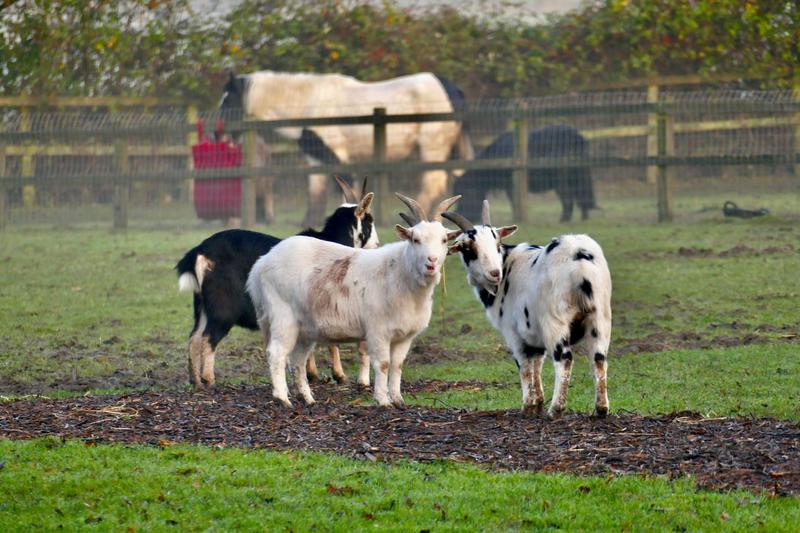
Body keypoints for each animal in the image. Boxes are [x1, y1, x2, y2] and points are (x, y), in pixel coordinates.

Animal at [175, 177, 378, 388]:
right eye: (370, 221)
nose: (377, 245)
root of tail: (200, 250)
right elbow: (332, 344)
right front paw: (339, 375)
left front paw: (311, 374)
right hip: (222, 306)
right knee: (208, 338)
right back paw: (209, 379)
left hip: (202, 304)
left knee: (194, 338)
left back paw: (195, 380)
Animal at [222, 70, 472, 224]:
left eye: (228, 100)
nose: (219, 132)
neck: (309, 104)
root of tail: (452, 89)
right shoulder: (318, 160)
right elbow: (316, 194)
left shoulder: (337, 157)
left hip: (432, 149)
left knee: (432, 184)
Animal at [245, 193, 462, 406]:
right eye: (415, 239)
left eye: (444, 240)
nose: (431, 262)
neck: (400, 272)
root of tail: (261, 264)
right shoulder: (378, 331)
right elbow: (383, 364)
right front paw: (383, 400)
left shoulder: (404, 337)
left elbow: (397, 365)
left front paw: (398, 399)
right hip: (282, 316)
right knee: (277, 353)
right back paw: (282, 398)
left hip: (303, 328)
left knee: (298, 360)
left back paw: (308, 399)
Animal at [444, 202, 612, 418]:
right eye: (467, 247)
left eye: (496, 243)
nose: (495, 273)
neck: (508, 263)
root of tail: (579, 256)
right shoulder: (533, 332)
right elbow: (537, 364)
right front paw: (537, 403)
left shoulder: (513, 332)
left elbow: (524, 365)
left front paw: (527, 406)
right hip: (600, 318)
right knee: (599, 358)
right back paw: (601, 408)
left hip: (554, 320)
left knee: (564, 358)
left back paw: (556, 409)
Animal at [454, 125, 596, 222]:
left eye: (467, 191)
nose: (460, 214)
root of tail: (577, 136)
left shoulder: (511, 186)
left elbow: (513, 202)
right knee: (581, 196)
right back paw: (583, 217)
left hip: (562, 180)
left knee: (569, 199)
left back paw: (564, 220)